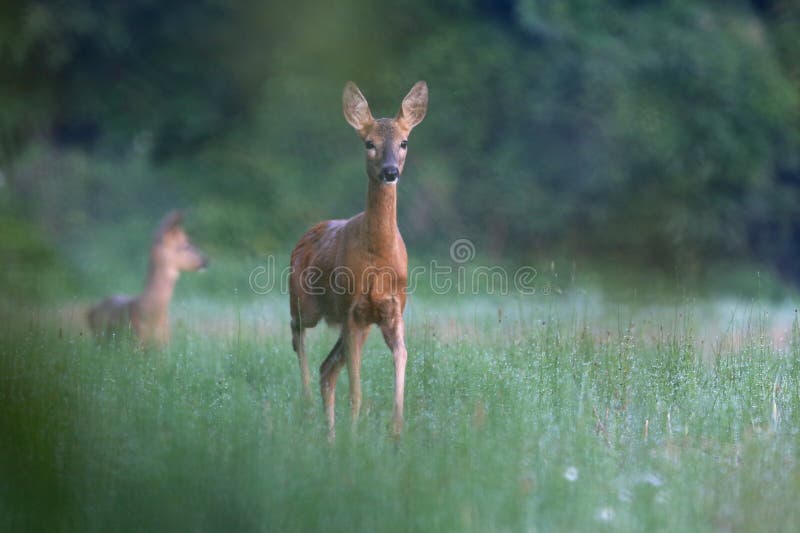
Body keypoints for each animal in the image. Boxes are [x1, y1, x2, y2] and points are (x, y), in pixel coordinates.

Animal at [88, 210, 208, 348]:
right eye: (185, 245)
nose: (206, 260)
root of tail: (91, 309)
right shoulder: (135, 343)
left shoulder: (165, 346)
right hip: (99, 338)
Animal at [290, 80, 428, 436]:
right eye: (369, 143)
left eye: (404, 142)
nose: (390, 172)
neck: (378, 258)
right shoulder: (352, 310)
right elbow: (356, 390)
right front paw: (354, 436)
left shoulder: (391, 311)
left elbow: (401, 363)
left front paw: (395, 432)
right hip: (306, 303)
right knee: (298, 337)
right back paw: (307, 404)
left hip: (355, 323)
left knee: (327, 368)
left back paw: (329, 435)